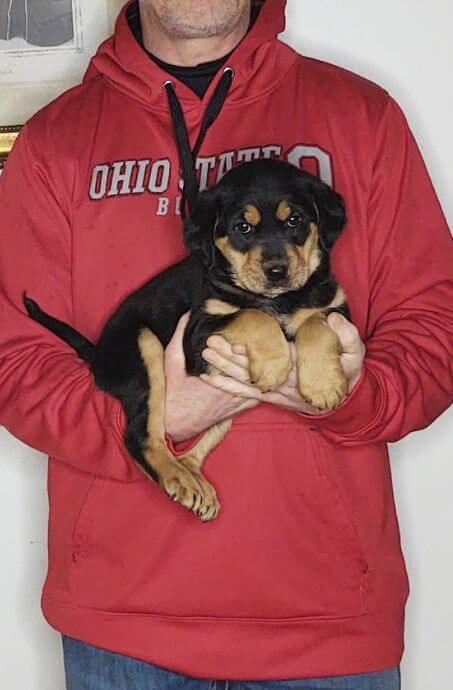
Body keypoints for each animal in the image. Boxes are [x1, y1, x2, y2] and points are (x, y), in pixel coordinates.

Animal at [23, 157, 350, 520]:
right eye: (243, 228)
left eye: (295, 220)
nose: (277, 272)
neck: (279, 299)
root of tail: (98, 354)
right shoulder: (198, 333)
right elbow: (253, 315)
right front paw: (275, 365)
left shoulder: (336, 307)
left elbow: (316, 322)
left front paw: (323, 386)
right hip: (142, 349)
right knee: (140, 434)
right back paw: (178, 475)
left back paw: (193, 476)